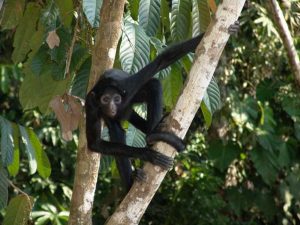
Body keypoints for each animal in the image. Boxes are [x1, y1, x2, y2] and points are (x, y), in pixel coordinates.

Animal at [84, 22, 239, 191]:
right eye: (105, 100)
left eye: (116, 99)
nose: (112, 106)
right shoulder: (91, 104)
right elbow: (95, 144)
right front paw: (146, 154)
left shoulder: (127, 86)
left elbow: (162, 61)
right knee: (116, 130)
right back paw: (131, 181)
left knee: (153, 85)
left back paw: (152, 133)